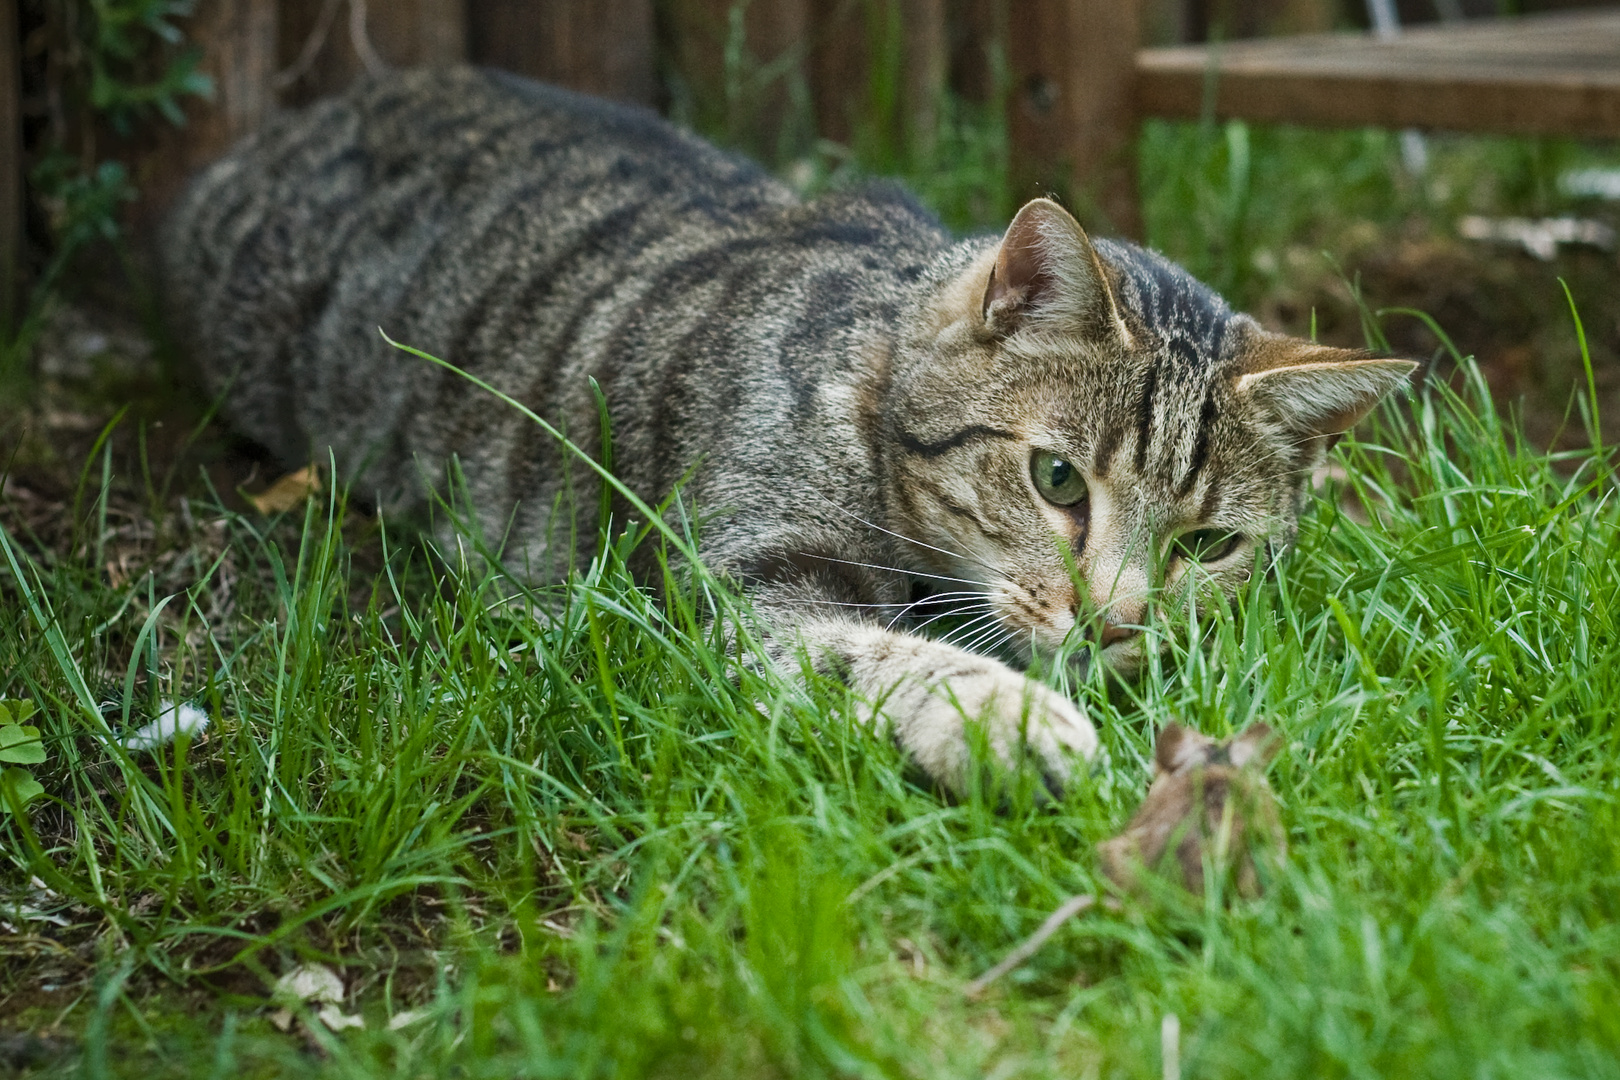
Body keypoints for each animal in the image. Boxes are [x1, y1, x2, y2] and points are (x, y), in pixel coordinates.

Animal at [157, 67, 1412, 793]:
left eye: (1209, 547)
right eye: (1059, 480)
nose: (1114, 622)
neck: (869, 383)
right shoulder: (733, 590)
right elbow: (882, 653)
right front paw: (1015, 721)